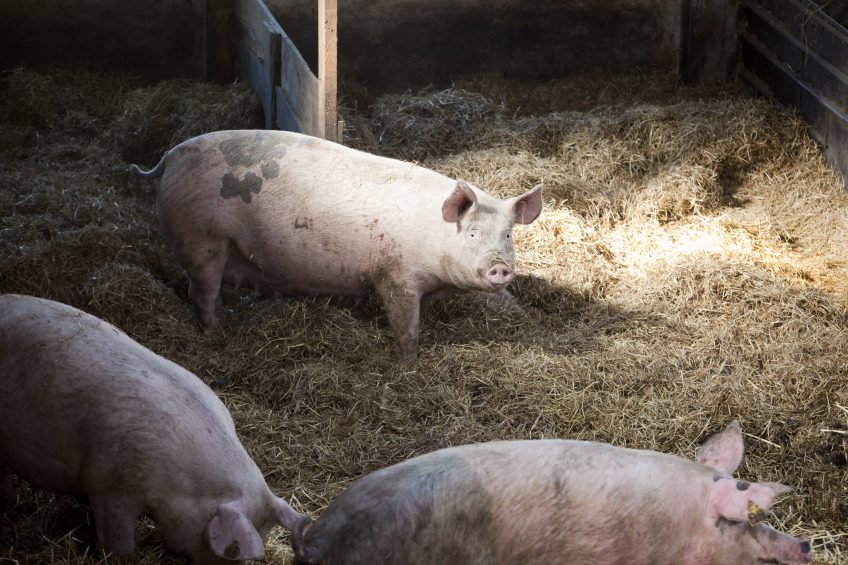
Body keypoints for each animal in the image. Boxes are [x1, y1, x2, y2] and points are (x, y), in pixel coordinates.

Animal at [131, 131, 544, 362]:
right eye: (472, 233)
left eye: (507, 234)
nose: (499, 265)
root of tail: (169, 158)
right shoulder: (395, 276)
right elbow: (406, 325)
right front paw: (408, 364)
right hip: (203, 239)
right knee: (200, 294)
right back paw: (217, 336)